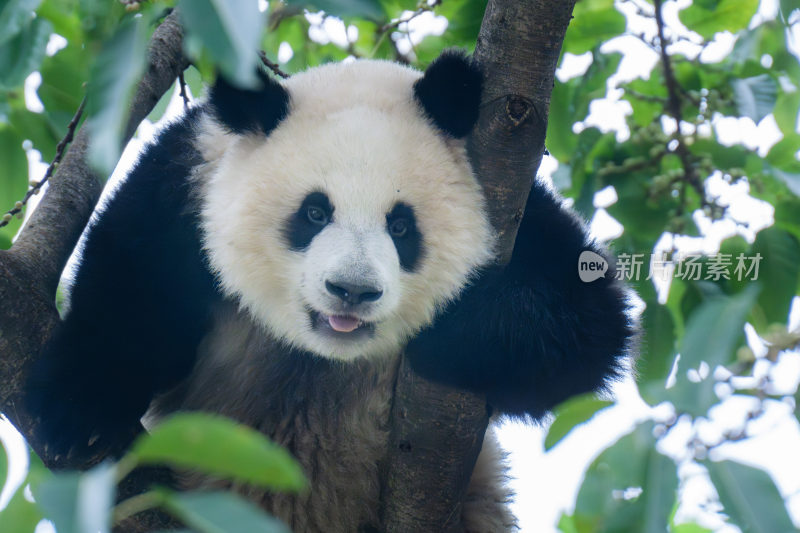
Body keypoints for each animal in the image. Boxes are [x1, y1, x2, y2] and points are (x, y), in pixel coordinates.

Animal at [28, 51, 636, 532]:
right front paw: (82, 417)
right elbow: (129, 294)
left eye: (401, 225)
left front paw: (454, 327)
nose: (352, 290)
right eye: (315, 213)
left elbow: (591, 326)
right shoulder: (189, 186)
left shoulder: (510, 205)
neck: (322, 353)